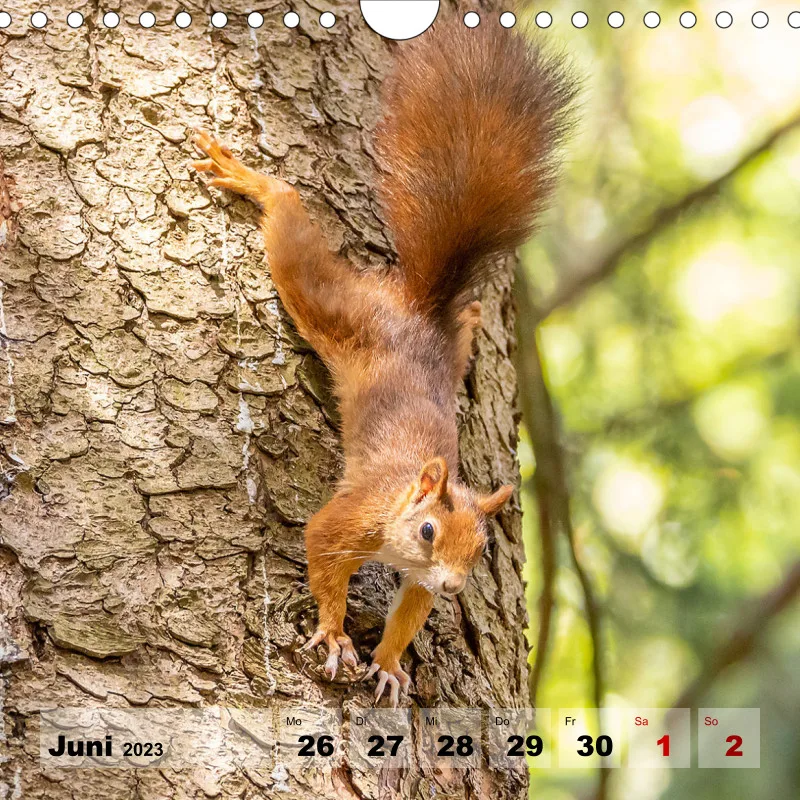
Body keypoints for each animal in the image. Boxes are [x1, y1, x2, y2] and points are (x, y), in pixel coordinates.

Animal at [192, 21, 574, 708]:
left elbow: (409, 615)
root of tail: (415, 312)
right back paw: (256, 183)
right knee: (291, 229)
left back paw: (472, 314)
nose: (455, 587)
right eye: (428, 532)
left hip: (445, 353)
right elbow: (320, 552)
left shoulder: (421, 584)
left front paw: (391, 664)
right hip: (332, 305)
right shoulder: (352, 519)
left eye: (482, 551)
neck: (400, 519)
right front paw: (336, 634)